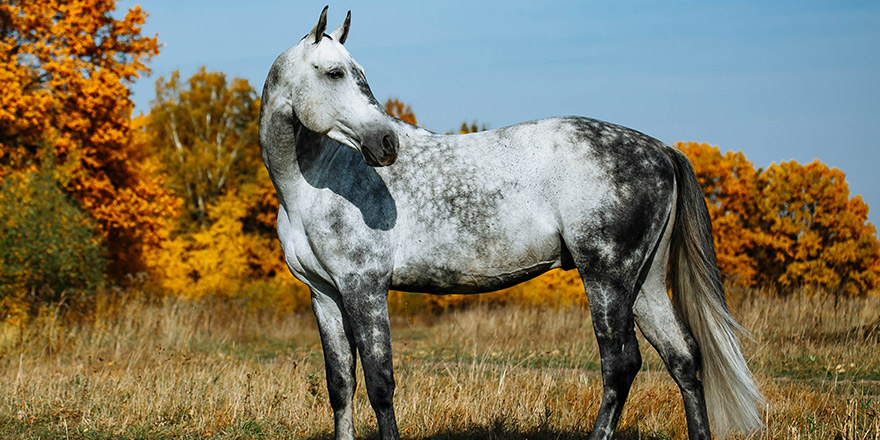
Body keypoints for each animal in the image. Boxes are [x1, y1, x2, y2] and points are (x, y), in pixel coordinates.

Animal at [256, 6, 764, 440]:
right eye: (335, 73)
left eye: (357, 73)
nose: (386, 144)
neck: (317, 183)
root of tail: (661, 150)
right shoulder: (325, 295)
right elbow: (341, 385)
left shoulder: (365, 287)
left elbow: (381, 386)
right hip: (646, 282)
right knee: (683, 358)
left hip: (607, 278)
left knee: (621, 365)